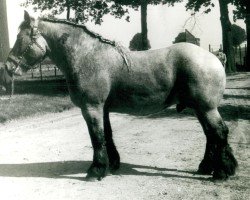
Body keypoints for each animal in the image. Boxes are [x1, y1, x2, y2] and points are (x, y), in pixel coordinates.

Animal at [4, 11, 237, 181]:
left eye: (20, 38)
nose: (7, 67)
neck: (87, 56)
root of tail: (213, 57)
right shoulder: (103, 108)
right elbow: (107, 136)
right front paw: (112, 164)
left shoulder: (92, 108)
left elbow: (97, 137)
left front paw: (96, 171)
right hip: (199, 108)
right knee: (210, 135)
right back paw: (207, 167)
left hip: (206, 108)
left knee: (218, 133)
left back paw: (221, 172)